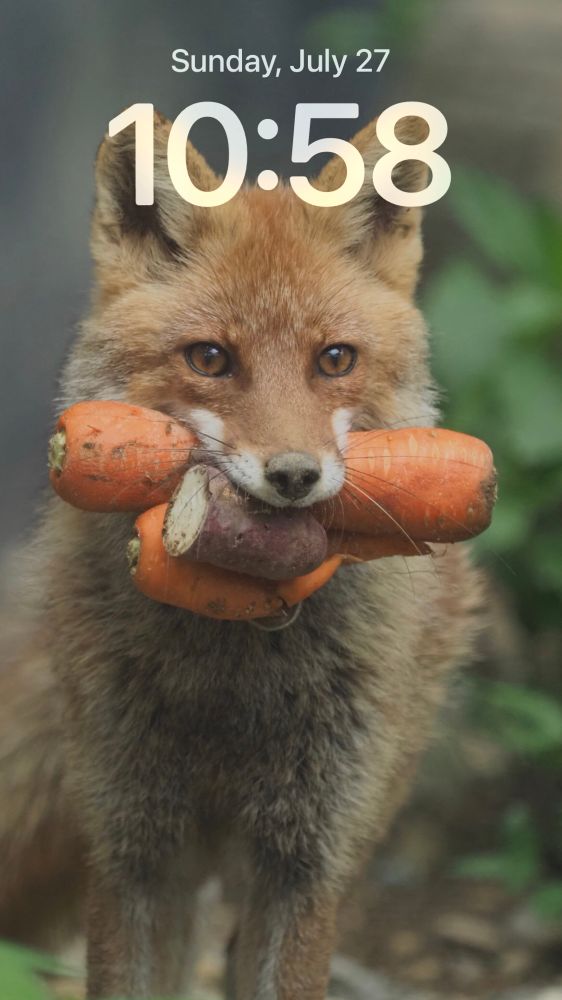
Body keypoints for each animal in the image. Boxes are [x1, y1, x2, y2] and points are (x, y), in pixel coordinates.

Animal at [0, 110, 481, 999]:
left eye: (335, 359)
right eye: (211, 358)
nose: (293, 476)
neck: (233, 660)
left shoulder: (305, 861)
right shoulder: (132, 847)